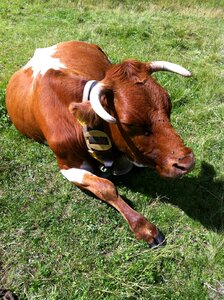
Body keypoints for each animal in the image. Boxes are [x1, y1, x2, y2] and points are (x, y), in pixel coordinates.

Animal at [5, 41, 194, 248]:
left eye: (169, 105)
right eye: (128, 123)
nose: (186, 162)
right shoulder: (67, 166)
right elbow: (106, 187)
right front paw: (143, 227)